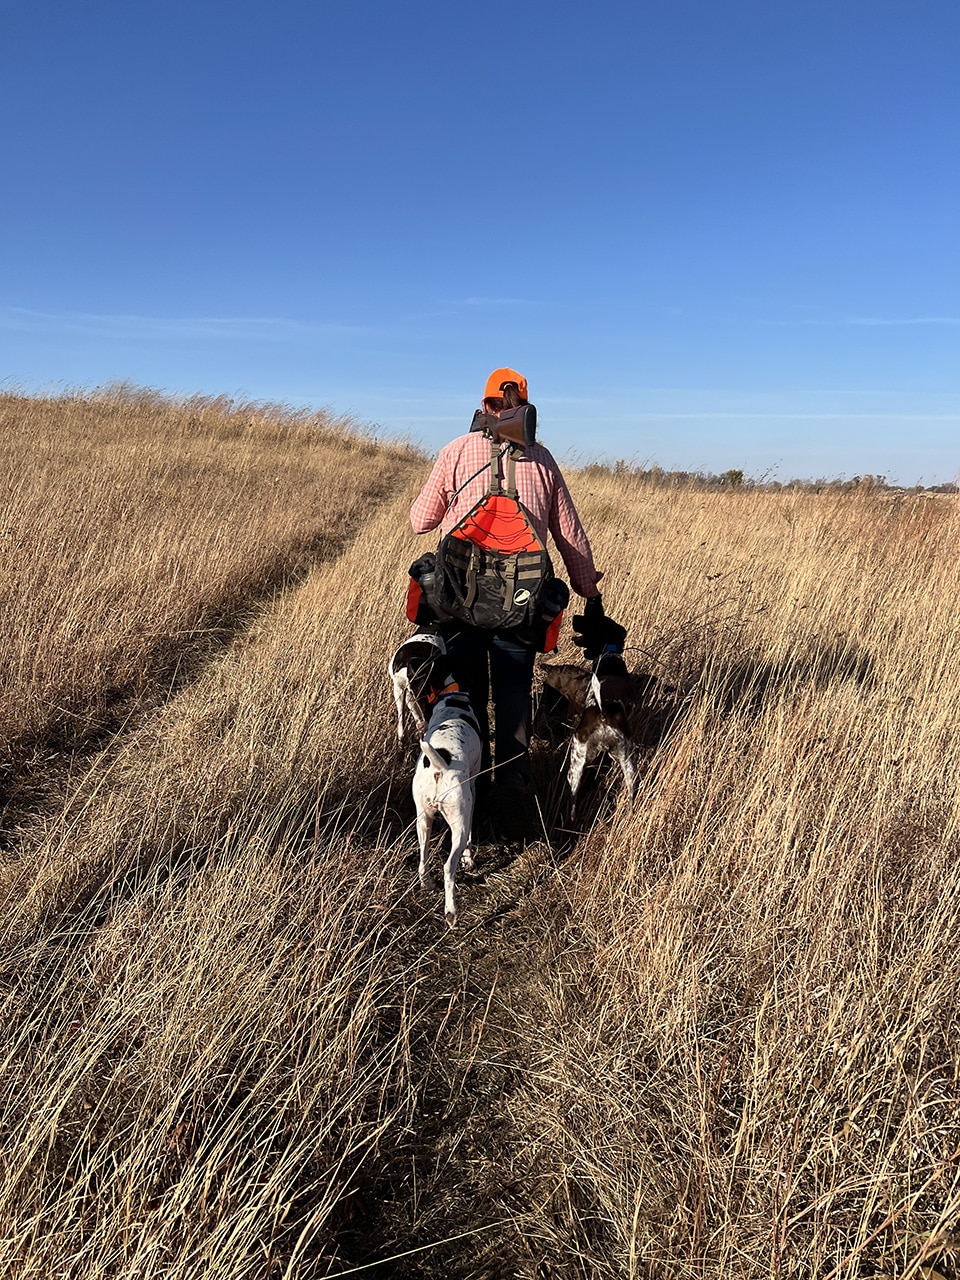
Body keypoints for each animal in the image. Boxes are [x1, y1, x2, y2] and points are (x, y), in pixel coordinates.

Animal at [414, 680, 483, 931]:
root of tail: (439, 767)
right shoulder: (473, 787)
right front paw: (469, 860)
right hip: (458, 824)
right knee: (448, 867)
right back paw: (451, 913)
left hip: (423, 819)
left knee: (423, 859)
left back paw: (427, 884)